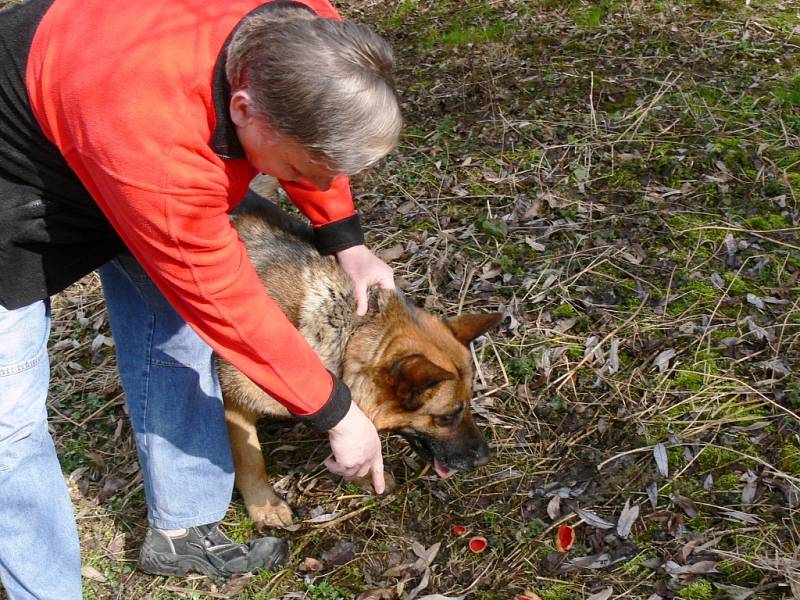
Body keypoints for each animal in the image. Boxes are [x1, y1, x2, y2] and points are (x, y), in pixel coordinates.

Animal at [219, 179, 500, 528]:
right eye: (446, 417)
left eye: (469, 404)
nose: (485, 458)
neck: (347, 333)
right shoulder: (233, 401)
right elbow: (249, 457)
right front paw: (264, 505)